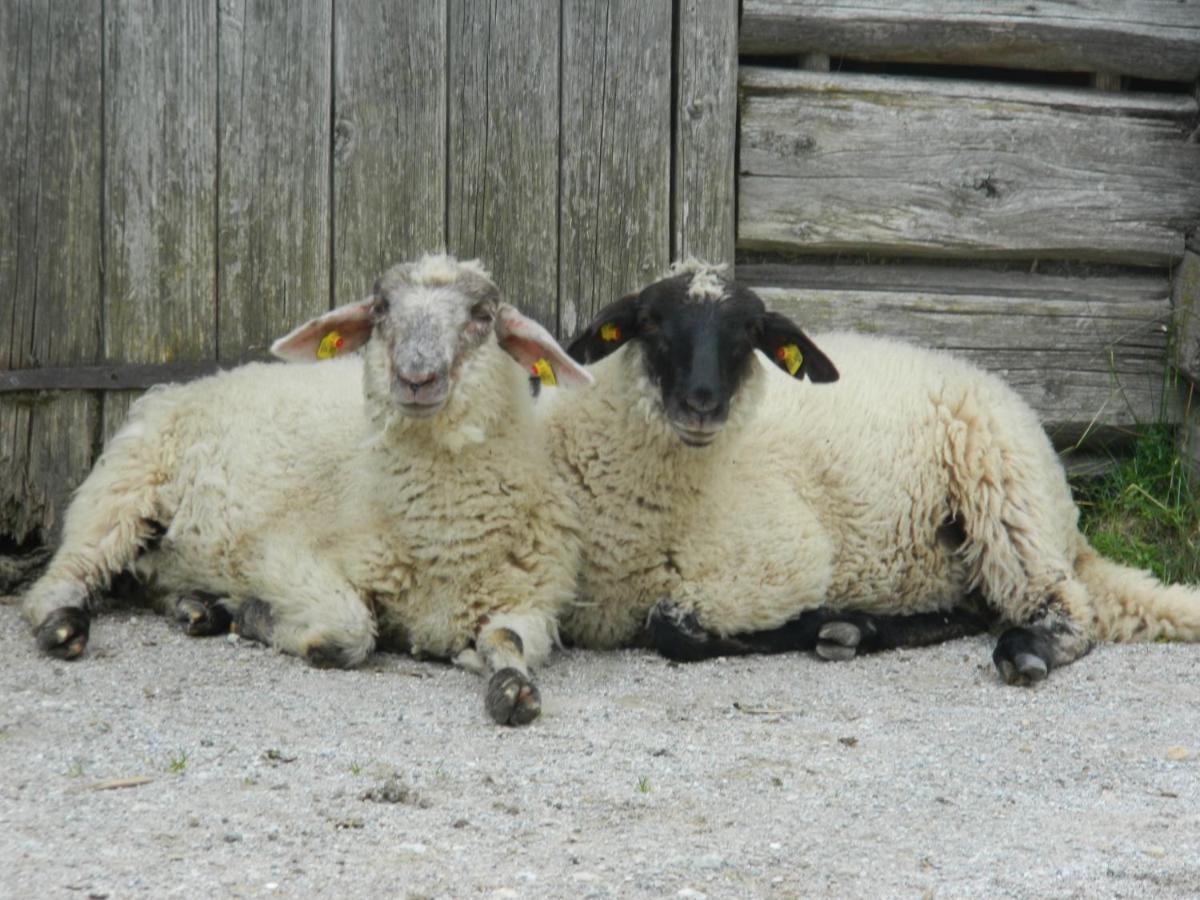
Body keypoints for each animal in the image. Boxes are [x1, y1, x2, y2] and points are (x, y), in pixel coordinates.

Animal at [21, 254, 592, 724]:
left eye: (482, 315)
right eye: (381, 309)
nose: (416, 378)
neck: (440, 540)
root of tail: (189, 383)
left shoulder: (530, 597)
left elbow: (505, 638)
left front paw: (513, 687)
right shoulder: (283, 557)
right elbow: (349, 630)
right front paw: (258, 616)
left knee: (148, 577)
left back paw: (196, 607)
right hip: (120, 491)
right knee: (63, 575)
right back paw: (63, 624)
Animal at [549, 264, 1200, 686]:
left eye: (748, 337)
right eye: (653, 326)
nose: (701, 405)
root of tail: (1070, 524)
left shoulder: (785, 564)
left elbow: (673, 626)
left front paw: (810, 626)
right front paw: (839, 626)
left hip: (1005, 497)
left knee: (1066, 607)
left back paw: (1023, 651)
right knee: (977, 609)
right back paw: (868, 629)